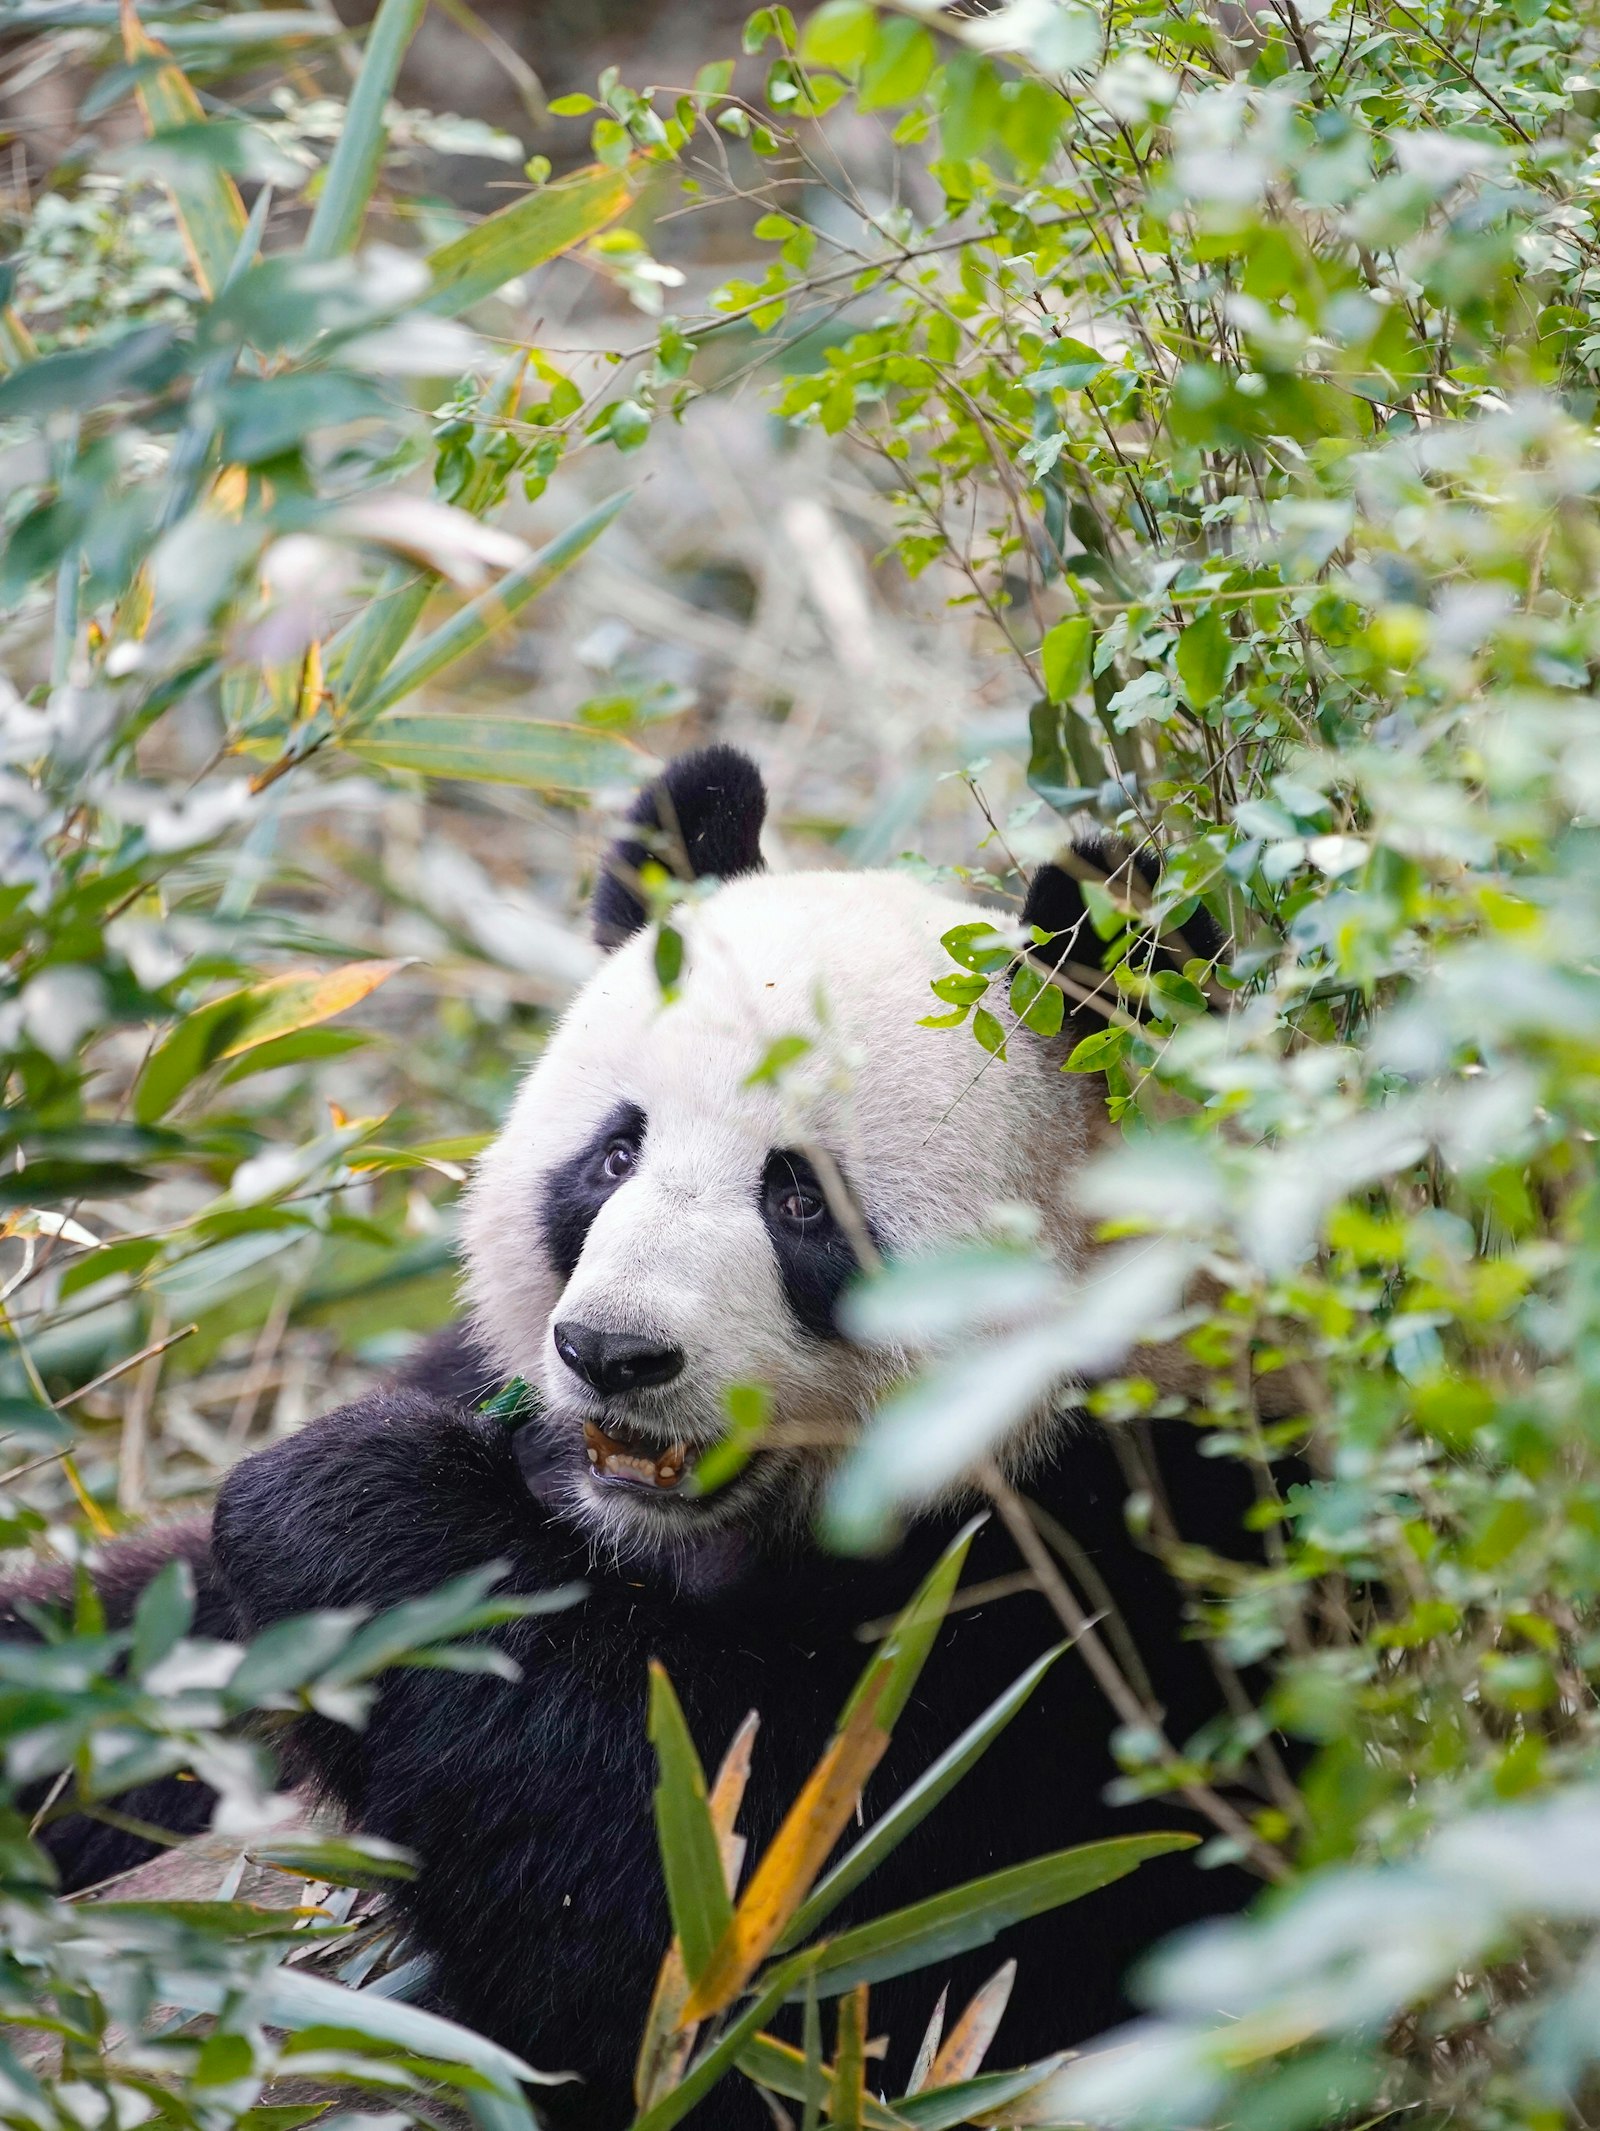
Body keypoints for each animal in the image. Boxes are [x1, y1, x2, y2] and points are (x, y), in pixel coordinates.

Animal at [15, 750, 1261, 2131]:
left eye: (802, 1199)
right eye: (614, 1154)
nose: (611, 1352)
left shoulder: (1108, 1599)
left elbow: (773, 1945)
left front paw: (348, 1505)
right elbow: (139, 1640)